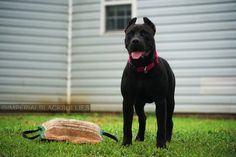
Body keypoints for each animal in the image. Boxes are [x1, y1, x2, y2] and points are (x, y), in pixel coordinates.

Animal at [121, 17, 175, 148]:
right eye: (130, 33)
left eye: (145, 33)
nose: (135, 41)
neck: (142, 68)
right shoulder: (128, 100)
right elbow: (127, 125)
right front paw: (126, 143)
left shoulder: (160, 100)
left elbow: (161, 126)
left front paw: (161, 145)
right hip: (139, 103)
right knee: (143, 118)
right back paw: (139, 137)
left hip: (170, 101)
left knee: (169, 121)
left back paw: (168, 139)